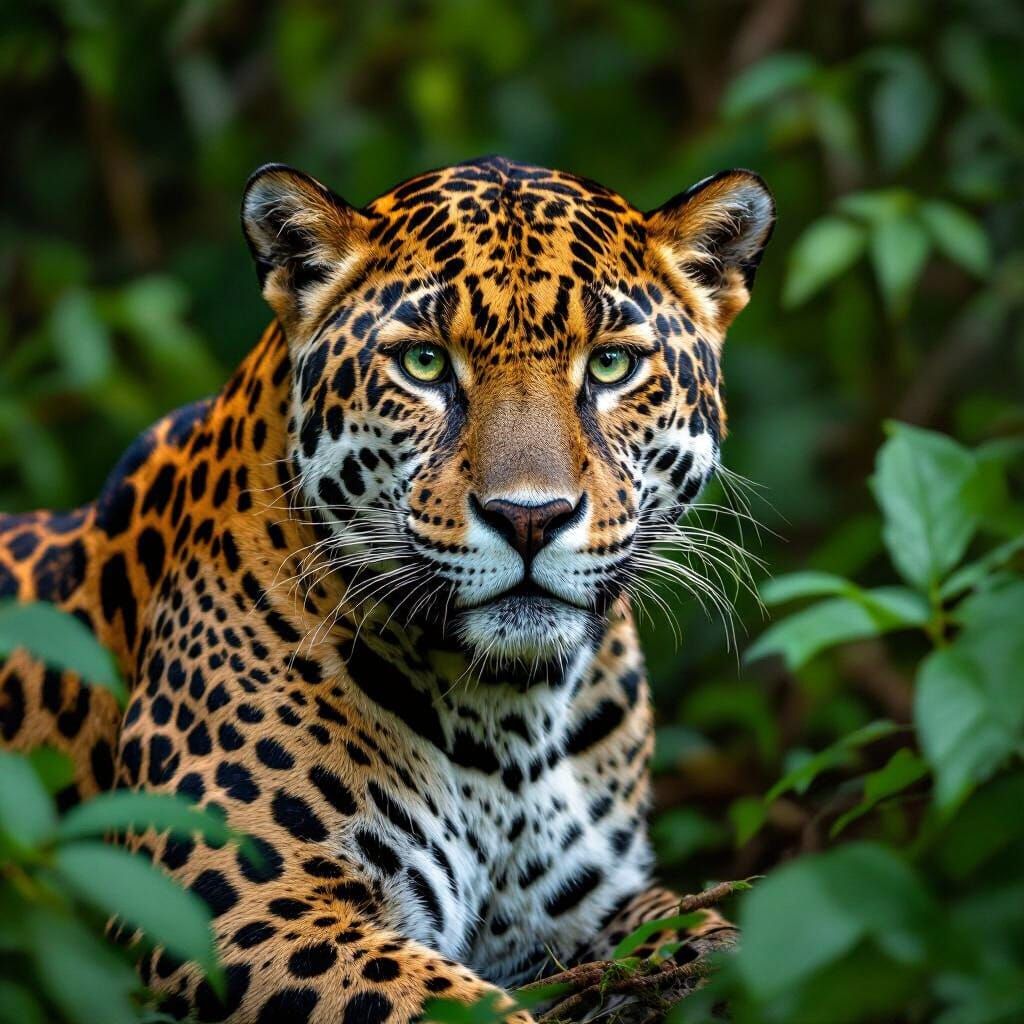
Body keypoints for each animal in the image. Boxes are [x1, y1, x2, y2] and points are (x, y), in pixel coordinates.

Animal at [0, 156, 773, 1022]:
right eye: (424, 364)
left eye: (612, 365)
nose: (530, 517)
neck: (508, 716)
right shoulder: (232, 904)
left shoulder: (597, 903)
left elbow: (715, 939)